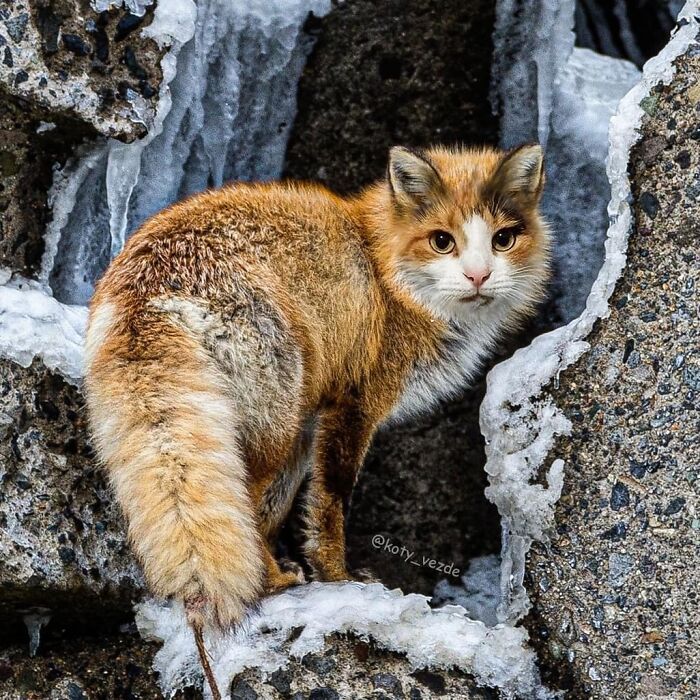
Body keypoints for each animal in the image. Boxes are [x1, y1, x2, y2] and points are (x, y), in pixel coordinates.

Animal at [85, 144, 548, 696]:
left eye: (503, 239)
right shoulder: (352, 406)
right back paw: (274, 583)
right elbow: (328, 507)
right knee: (244, 499)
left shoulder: (312, 421)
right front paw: (339, 581)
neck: (387, 278)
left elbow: (278, 509)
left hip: (275, 425)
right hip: (274, 425)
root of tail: (151, 289)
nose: (479, 278)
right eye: (443, 241)